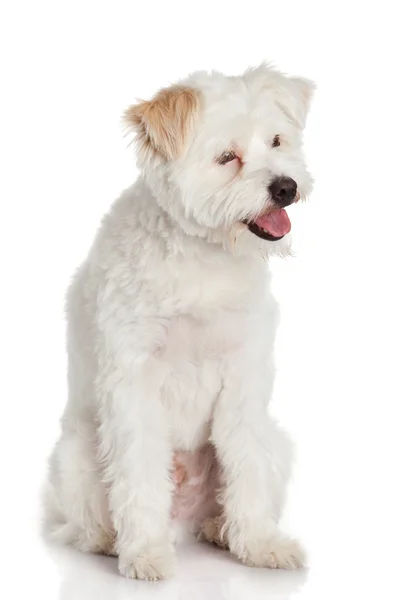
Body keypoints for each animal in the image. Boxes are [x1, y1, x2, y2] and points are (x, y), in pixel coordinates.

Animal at [44, 63, 316, 580]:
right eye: (228, 157)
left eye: (276, 140)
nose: (285, 188)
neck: (204, 256)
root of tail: (184, 520)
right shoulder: (134, 381)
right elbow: (138, 474)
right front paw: (144, 553)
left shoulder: (244, 374)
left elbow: (246, 464)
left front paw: (259, 544)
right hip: (76, 455)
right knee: (86, 523)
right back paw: (111, 540)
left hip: (279, 443)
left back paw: (222, 530)